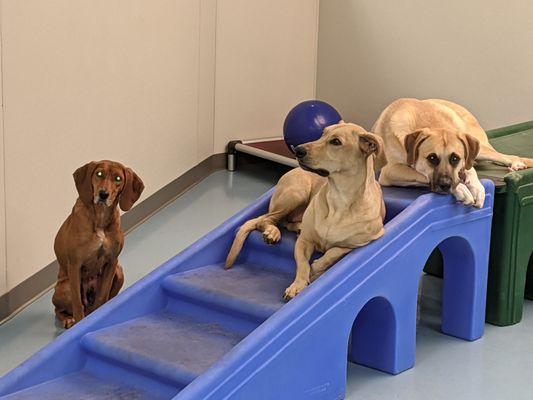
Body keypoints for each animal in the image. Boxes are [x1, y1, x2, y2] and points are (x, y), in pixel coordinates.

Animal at [52, 159, 143, 328]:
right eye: (99, 173)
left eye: (118, 179)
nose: (103, 194)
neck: (100, 217)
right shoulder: (75, 265)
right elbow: (77, 303)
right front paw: (79, 323)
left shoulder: (112, 262)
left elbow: (102, 296)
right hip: (65, 286)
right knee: (60, 309)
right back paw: (68, 319)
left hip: (119, 272)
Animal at [225, 123, 386, 298]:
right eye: (323, 133)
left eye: (336, 142)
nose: (298, 150)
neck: (340, 199)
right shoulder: (304, 242)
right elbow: (302, 264)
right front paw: (298, 284)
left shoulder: (359, 244)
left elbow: (334, 252)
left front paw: (317, 267)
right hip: (295, 194)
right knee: (267, 219)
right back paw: (273, 232)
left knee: (285, 222)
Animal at [372, 98, 532, 208]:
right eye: (432, 158)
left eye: (455, 158)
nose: (446, 185)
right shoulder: (389, 171)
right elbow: (421, 174)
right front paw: (462, 188)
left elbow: (470, 171)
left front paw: (477, 188)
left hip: (481, 149)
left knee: (507, 156)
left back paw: (516, 163)